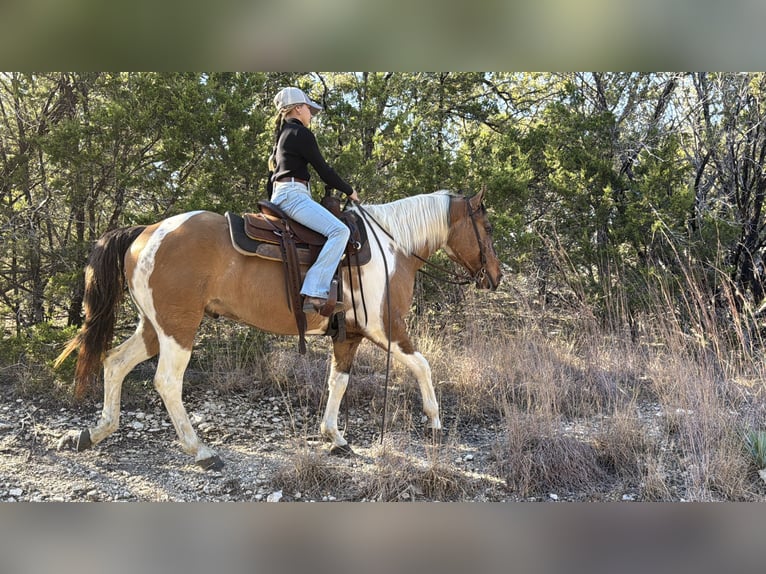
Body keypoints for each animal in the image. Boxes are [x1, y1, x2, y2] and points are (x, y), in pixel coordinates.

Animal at [55, 189, 503, 470]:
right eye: (488, 228)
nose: (496, 277)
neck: (392, 247)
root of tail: (145, 232)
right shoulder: (387, 329)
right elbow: (423, 366)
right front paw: (435, 423)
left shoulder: (351, 336)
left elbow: (337, 382)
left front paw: (334, 437)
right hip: (178, 329)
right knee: (166, 382)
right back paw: (201, 451)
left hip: (153, 327)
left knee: (114, 363)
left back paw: (94, 432)